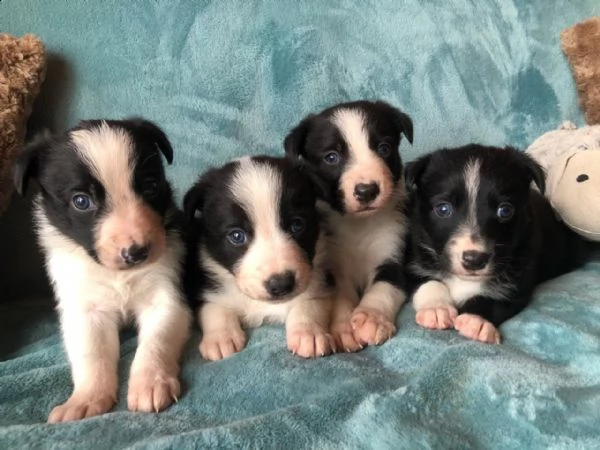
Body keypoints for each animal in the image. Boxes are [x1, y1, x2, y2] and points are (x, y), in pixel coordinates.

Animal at [12, 118, 191, 422]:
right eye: (81, 201)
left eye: (151, 186)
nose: (137, 252)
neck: (117, 274)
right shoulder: (84, 307)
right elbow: (91, 352)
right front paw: (85, 399)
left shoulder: (167, 292)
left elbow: (156, 340)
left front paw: (151, 383)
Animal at [184, 156, 332, 360]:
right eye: (236, 236)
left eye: (297, 225)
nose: (281, 284)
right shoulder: (205, 285)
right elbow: (214, 307)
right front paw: (221, 337)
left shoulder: (320, 282)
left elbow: (309, 304)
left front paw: (308, 333)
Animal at [284, 101, 412, 352]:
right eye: (331, 157)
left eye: (384, 148)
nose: (367, 190)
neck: (358, 225)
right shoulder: (332, 267)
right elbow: (341, 298)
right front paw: (344, 329)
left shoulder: (394, 252)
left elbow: (383, 289)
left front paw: (372, 319)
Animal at [406, 146, 588, 342]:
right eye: (443, 209)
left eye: (505, 210)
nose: (474, 260)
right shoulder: (414, 259)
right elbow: (428, 281)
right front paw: (436, 308)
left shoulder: (518, 281)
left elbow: (494, 300)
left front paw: (475, 320)